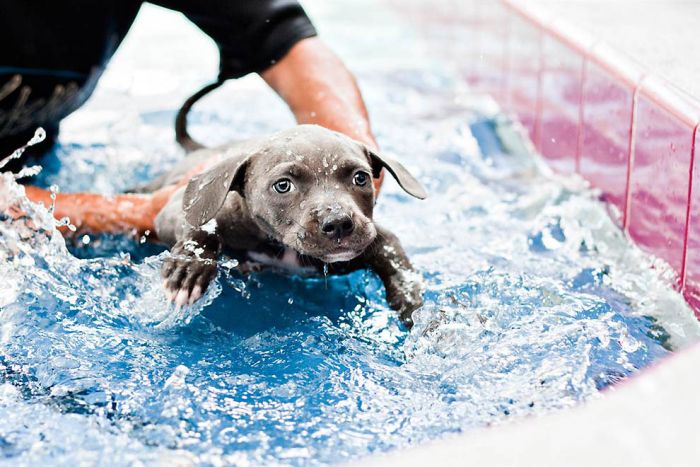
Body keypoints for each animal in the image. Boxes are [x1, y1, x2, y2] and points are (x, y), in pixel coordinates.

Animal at [148, 85, 426, 326]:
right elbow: (201, 225)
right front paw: (189, 267)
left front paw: (418, 310)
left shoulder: (375, 238)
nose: (338, 223)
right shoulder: (175, 210)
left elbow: (398, 264)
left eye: (361, 178)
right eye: (283, 185)